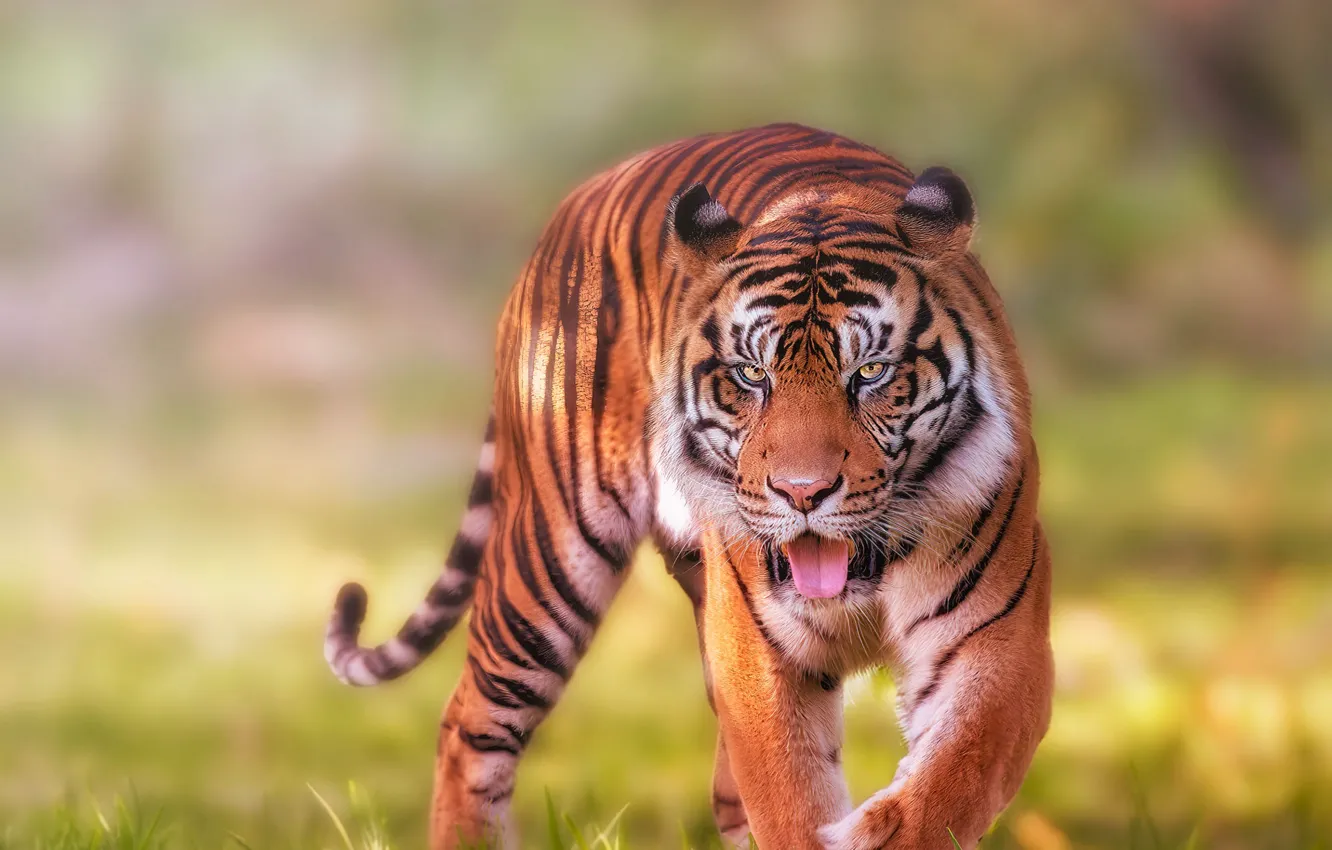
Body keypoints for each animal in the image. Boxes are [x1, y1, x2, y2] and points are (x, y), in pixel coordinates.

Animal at [324, 123, 1053, 850]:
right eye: (751, 375)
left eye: (871, 372)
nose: (803, 493)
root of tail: (584, 195)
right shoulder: (757, 656)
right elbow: (790, 799)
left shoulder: (998, 645)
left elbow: (951, 781)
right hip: (549, 556)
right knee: (469, 726)